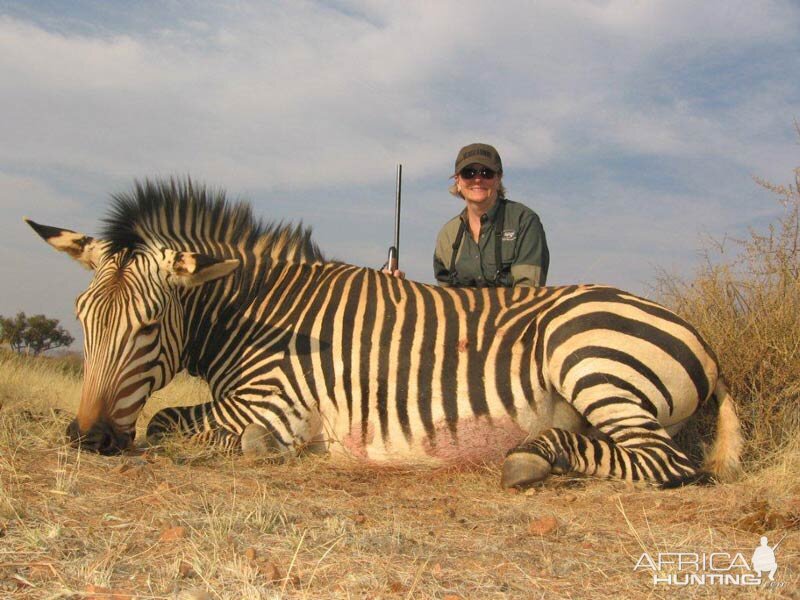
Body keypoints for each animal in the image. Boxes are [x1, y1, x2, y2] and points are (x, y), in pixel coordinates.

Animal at [28, 177, 748, 488]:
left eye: (149, 326)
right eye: (83, 319)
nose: (88, 439)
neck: (259, 311)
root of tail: (706, 342)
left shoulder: (273, 403)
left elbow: (166, 421)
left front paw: (273, 451)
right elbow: (167, 419)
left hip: (586, 358)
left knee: (668, 464)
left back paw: (528, 458)